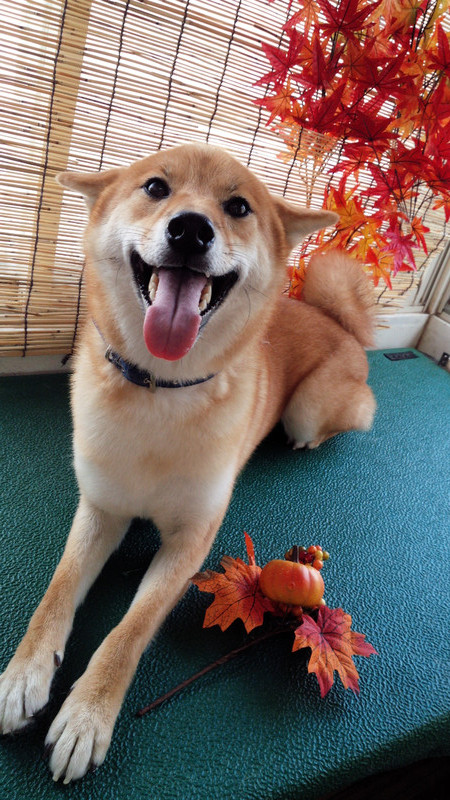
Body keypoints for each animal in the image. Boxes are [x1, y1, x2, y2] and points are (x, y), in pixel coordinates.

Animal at [0, 143, 376, 781]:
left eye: (238, 206)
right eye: (156, 187)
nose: (191, 229)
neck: (160, 391)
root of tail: (335, 321)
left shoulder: (190, 540)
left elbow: (128, 633)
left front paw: (86, 715)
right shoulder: (99, 509)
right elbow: (57, 591)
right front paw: (25, 674)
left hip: (308, 409)